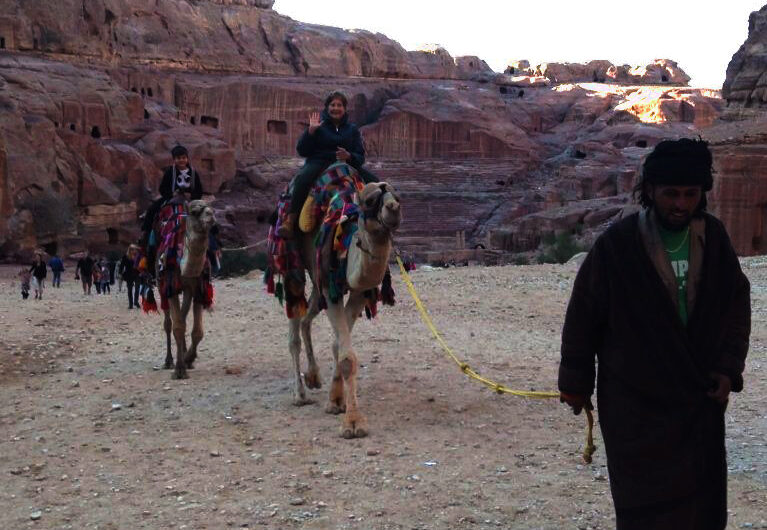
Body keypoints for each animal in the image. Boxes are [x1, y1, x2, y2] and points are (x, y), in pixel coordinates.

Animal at [156, 199, 216, 380]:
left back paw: (182, 351)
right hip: (162, 287)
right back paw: (169, 360)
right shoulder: (171, 288)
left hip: (188, 291)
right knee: (169, 323)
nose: (211, 215)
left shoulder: (199, 289)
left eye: (213, 209)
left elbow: (198, 331)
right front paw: (180, 369)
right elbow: (177, 326)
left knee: (182, 316)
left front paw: (189, 359)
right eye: (195, 211)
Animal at [290, 177, 402, 438]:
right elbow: (347, 356)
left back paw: (313, 376)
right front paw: (353, 422)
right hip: (295, 269)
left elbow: (337, 346)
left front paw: (336, 401)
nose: (393, 208)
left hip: (317, 281)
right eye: (370, 200)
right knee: (294, 330)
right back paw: (300, 394)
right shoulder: (331, 290)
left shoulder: (360, 292)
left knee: (306, 318)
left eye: (398, 196)